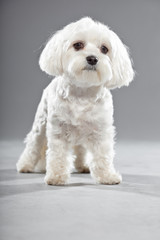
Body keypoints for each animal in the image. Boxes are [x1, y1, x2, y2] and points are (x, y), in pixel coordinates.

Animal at [16, 17, 134, 186]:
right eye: (78, 45)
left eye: (104, 49)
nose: (92, 58)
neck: (82, 94)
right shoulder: (58, 131)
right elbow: (58, 155)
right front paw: (56, 176)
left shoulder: (101, 131)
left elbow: (102, 156)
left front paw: (107, 176)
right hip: (40, 124)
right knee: (33, 145)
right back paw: (25, 165)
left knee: (81, 150)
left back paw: (83, 166)